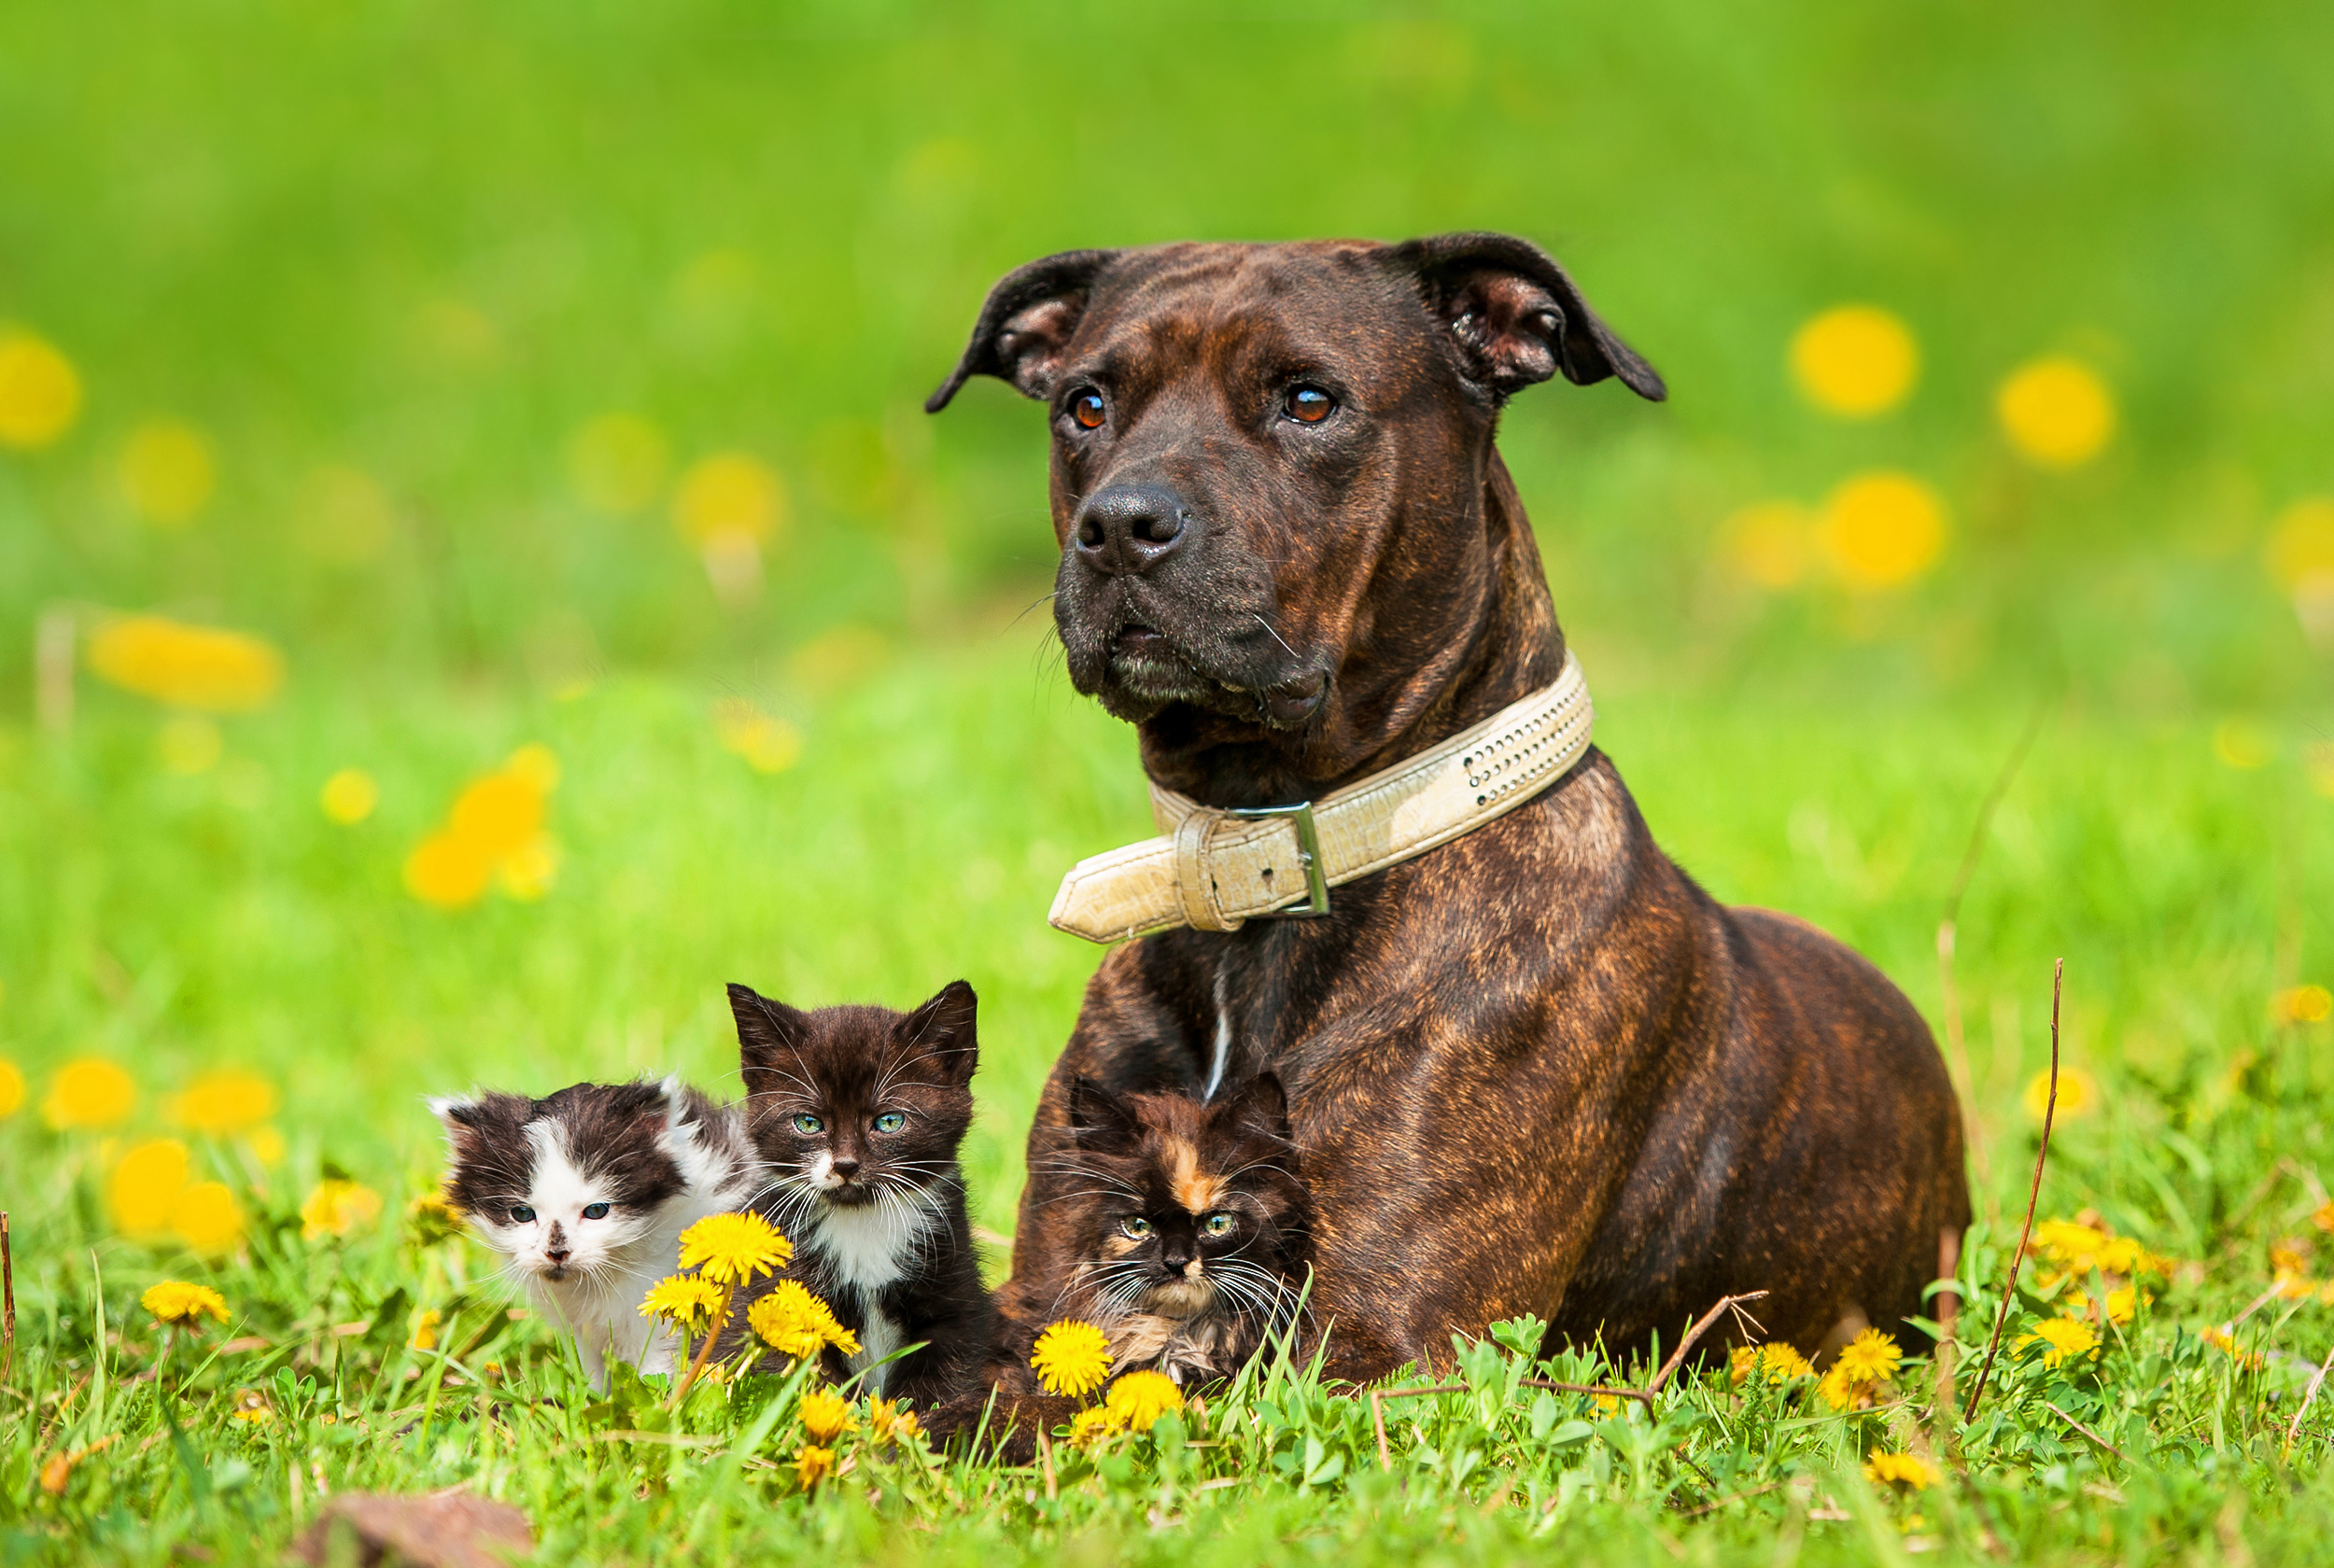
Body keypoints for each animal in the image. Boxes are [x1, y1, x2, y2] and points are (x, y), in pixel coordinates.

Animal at [436, 1078, 756, 1400]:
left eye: (596, 1211)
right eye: (522, 1214)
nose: (557, 1252)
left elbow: (658, 1369)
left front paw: (662, 1405)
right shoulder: (579, 1325)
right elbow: (591, 1371)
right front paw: (588, 1403)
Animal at [719, 980, 994, 1409]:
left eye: (890, 1121)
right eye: (808, 1123)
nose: (846, 1165)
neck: (862, 1225)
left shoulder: (954, 1294)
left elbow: (941, 1386)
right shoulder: (779, 1293)